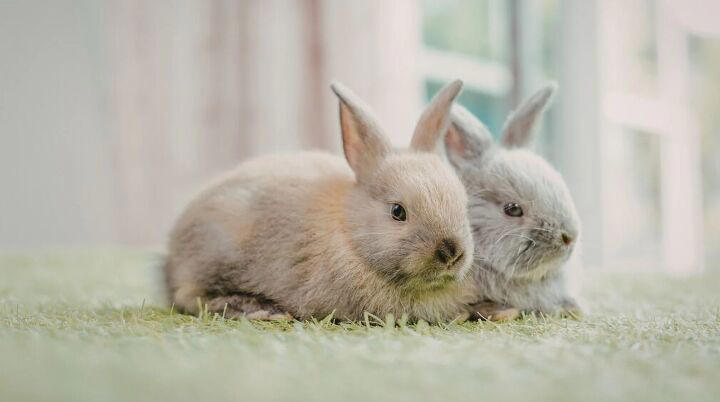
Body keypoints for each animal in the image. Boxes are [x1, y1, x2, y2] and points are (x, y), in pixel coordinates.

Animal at [163, 80, 477, 323]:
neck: (350, 236)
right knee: (189, 296)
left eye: (463, 205)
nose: (451, 253)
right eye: (398, 211)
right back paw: (258, 309)